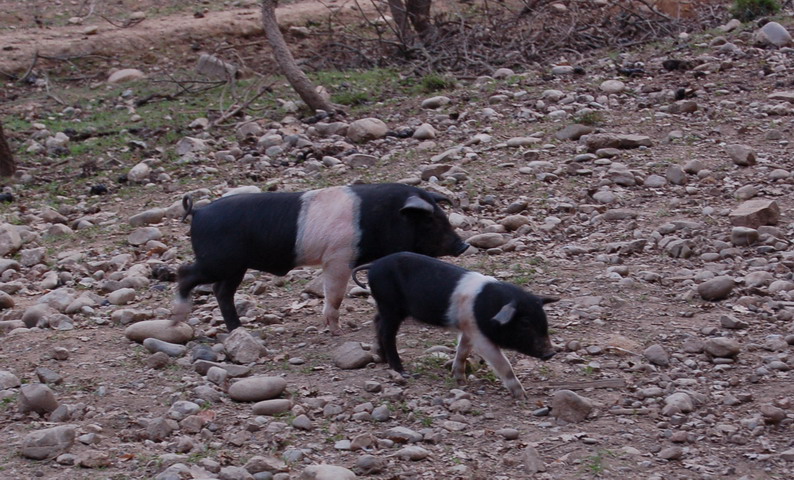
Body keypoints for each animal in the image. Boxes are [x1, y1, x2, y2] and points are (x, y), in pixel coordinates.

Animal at [174, 183, 469, 333]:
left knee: (221, 291)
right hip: (218, 261)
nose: (463, 245)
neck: (379, 218)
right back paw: (178, 318)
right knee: (185, 273)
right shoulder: (338, 257)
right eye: (429, 220)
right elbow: (334, 295)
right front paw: (336, 330)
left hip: (235, 267)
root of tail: (198, 212)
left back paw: (239, 331)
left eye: (442, 215)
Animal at [352, 252, 557, 399]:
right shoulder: (480, 336)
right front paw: (523, 397)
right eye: (525, 323)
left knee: (377, 322)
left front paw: (461, 381)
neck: (487, 307)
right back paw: (403, 372)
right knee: (387, 334)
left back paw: (381, 358)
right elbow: (502, 363)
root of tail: (374, 265)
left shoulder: (468, 328)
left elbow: (462, 351)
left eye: (544, 319)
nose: (551, 353)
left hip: (386, 307)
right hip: (390, 305)